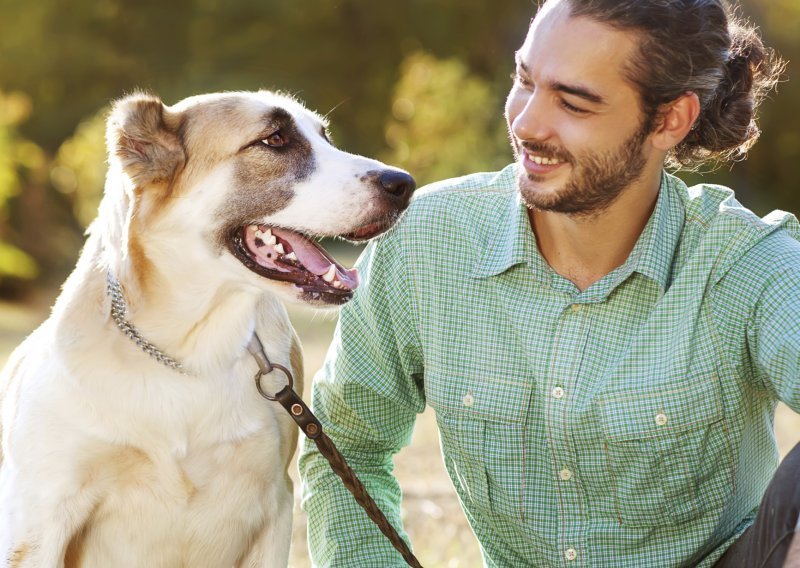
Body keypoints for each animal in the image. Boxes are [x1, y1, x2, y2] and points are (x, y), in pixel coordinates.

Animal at [0, 91, 412, 564]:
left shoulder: (275, 505)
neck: (190, 352)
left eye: (324, 136)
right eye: (274, 139)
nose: (404, 183)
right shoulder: (39, 522)